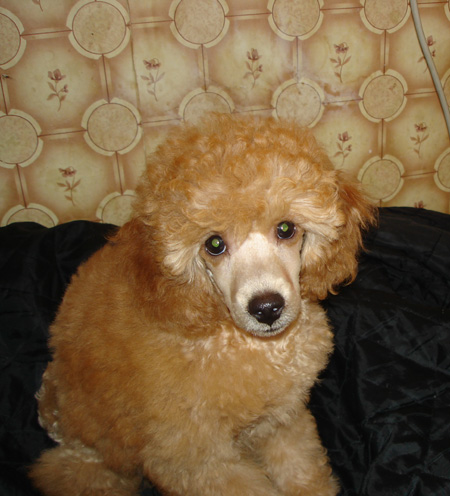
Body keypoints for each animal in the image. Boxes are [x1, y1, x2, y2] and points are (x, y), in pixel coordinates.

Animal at [30, 114, 374, 496]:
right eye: (214, 244)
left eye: (286, 229)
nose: (267, 308)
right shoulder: (196, 459)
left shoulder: (280, 420)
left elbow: (300, 467)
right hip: (93, 461)